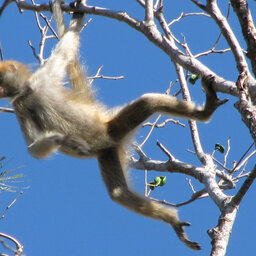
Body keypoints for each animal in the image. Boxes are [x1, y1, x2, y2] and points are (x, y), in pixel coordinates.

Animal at [0, 0, 228, 250]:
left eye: (0, 84)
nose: (0, 93)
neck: (30, 92)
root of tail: (110, 138)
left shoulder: (42, 79)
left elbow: (66, 49)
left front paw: (75, 17)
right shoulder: (20, 105)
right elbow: (33, 149)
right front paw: (65, 139)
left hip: (114, 129)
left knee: (148, 102)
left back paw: (205, 113)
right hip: (107, 151)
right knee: (119, 193)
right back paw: (172, 220)